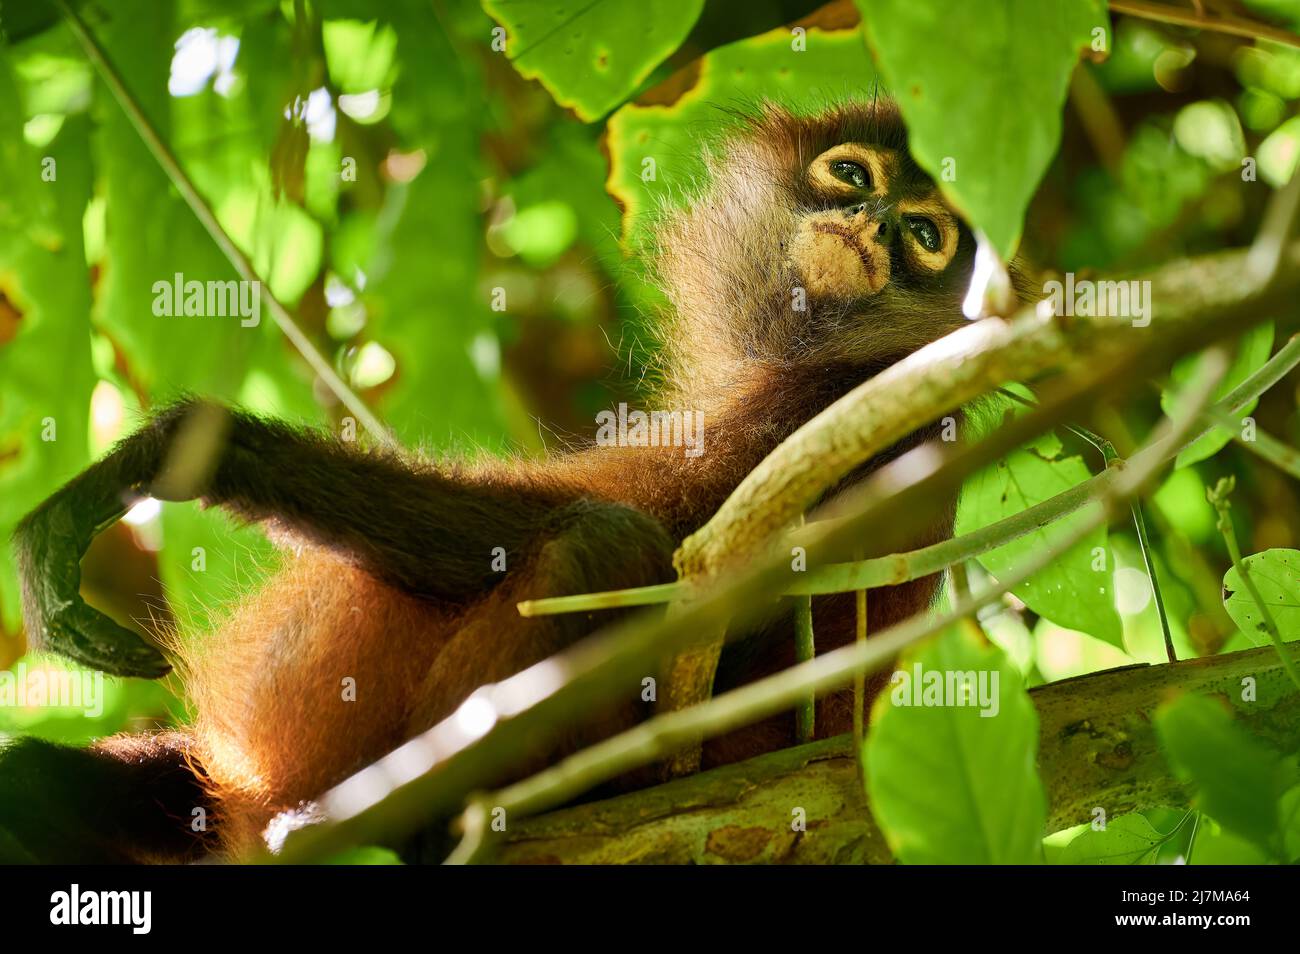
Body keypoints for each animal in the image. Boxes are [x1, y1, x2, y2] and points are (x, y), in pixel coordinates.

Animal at [7, 98, 982, 868]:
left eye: (924, 237)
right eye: (851, 174)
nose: (877, 222)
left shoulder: (842, 396)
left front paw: (185, 453)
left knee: (604, 546)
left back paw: (415, 827)